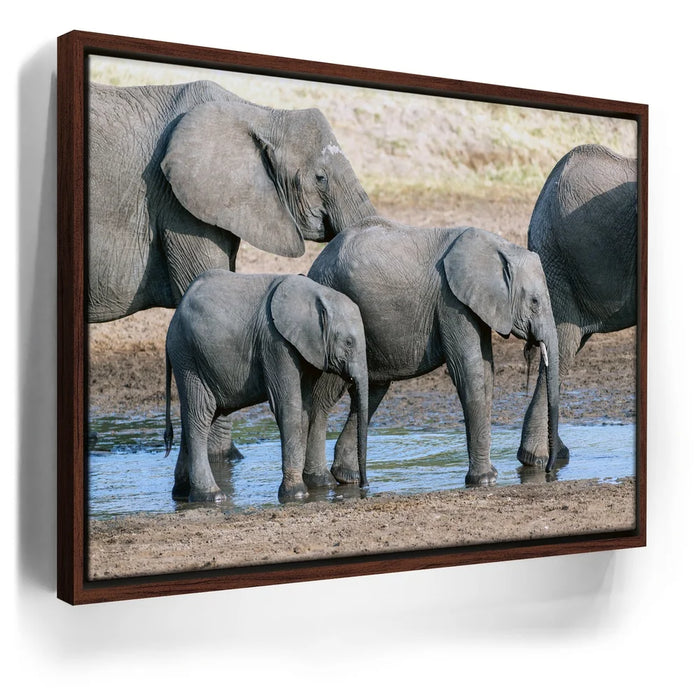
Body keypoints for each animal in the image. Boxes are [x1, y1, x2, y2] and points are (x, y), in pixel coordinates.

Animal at [163, 269, 369, 503]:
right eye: (349, 343)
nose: (364, 485)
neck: (318, 292)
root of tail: (174, 318)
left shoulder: (305, 349)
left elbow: (305, 408)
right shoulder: (275, 343)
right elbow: (289, 406)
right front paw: (296, 494)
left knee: (199, 415)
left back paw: (181, 494)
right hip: (188, 357)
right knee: (200, 415)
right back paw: (211, 496)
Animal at [304, 217, 560, 489]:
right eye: (534, 302)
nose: (549, 470)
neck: (500, 247)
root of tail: (315, 263)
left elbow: (486, 373)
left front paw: (490, 476)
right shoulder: (451, 302)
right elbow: (469, 372)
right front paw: (484, 480)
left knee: (371, 391)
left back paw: (348, 477)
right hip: (332, 321)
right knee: (324, 396)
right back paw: (319, 482)